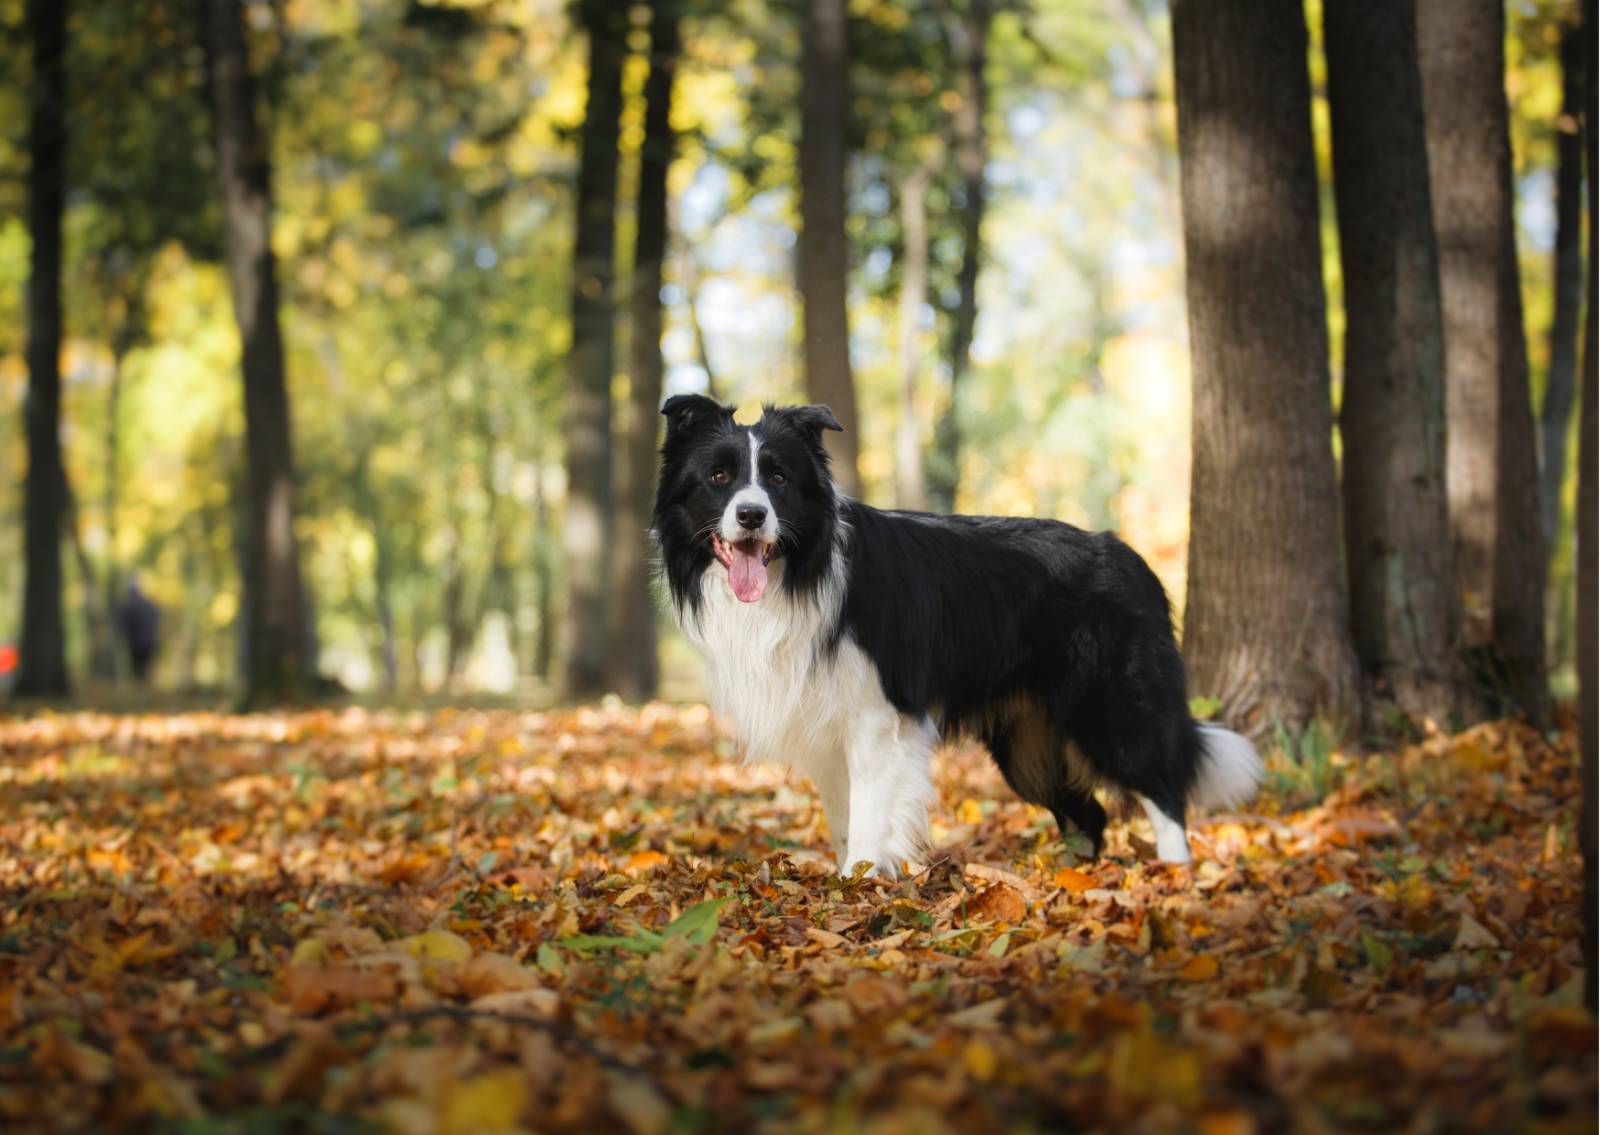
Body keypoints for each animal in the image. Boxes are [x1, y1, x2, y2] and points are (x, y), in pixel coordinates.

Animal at [649, 397, 1260, 877]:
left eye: (778, 479)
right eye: (719, 478)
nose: (752, 516)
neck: (799, 572)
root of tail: (1130, 556)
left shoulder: (876, 717)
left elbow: (869, 817)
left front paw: (859, 884)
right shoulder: (825, 724)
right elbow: (844, 817)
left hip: (1111, 707)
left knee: (1164, 793)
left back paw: (1173, 877)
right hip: (1027, 745)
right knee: (1089, 814)